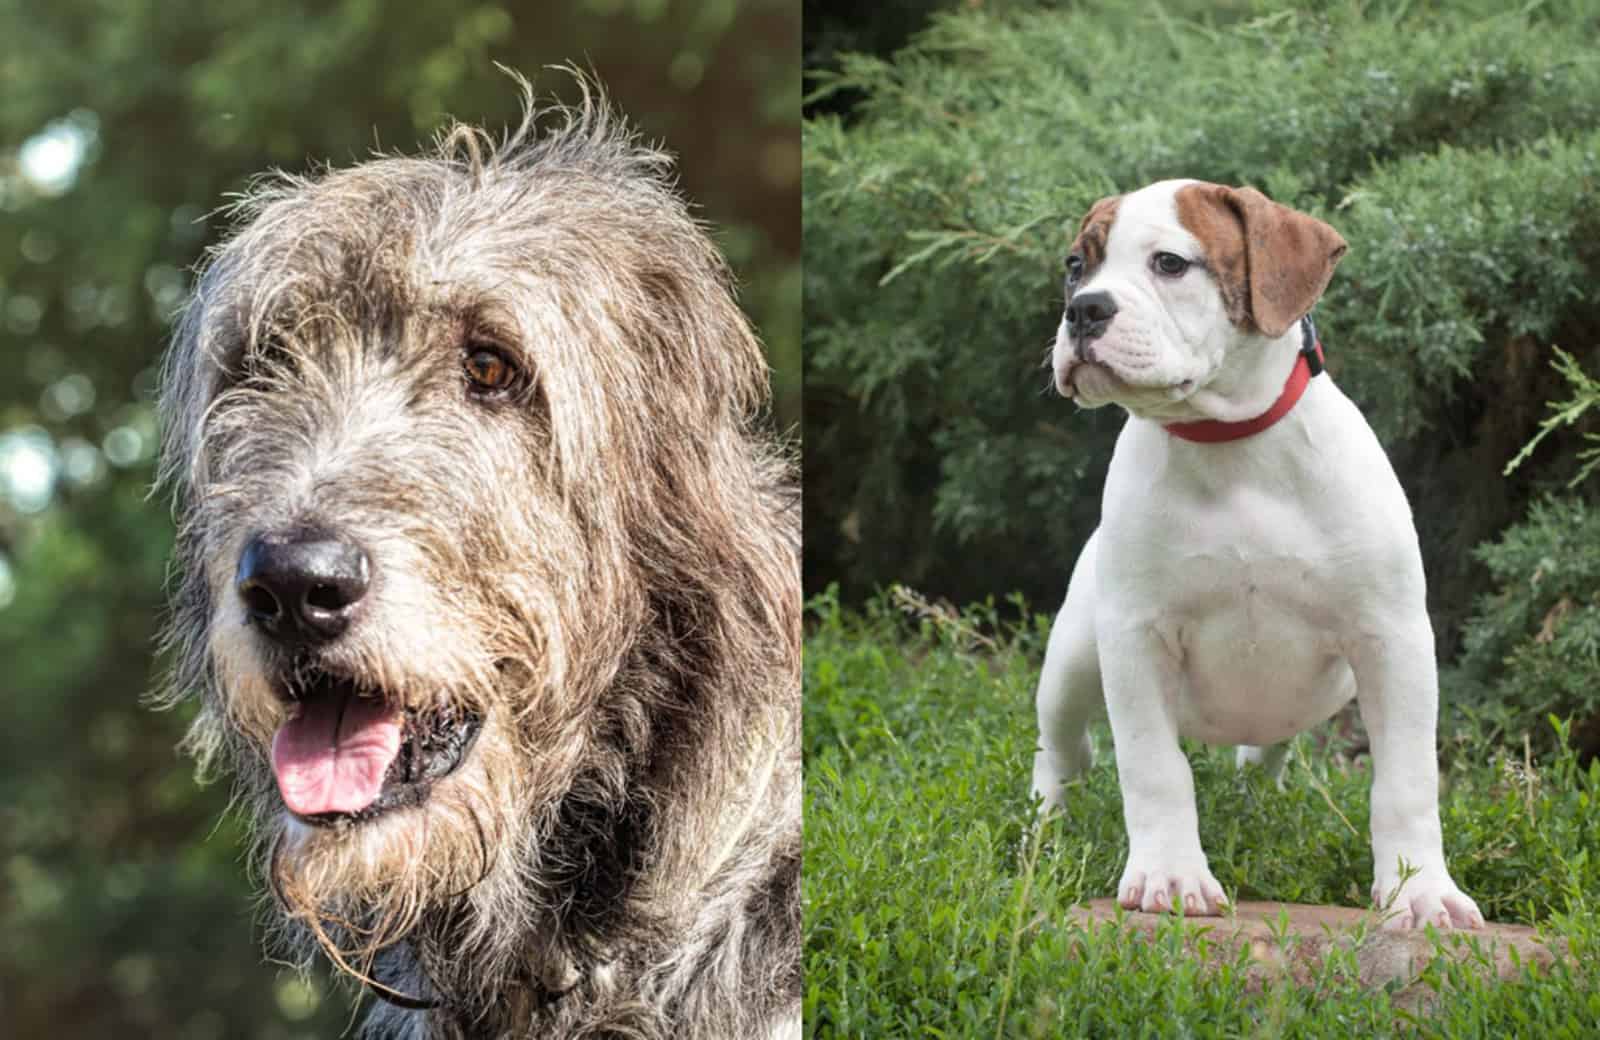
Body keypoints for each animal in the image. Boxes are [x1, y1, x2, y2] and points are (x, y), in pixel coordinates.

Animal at [1030, 180, 1478, 934]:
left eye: (1171, 263)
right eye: (1075, 264)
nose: (1083, 309)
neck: (1228, 444)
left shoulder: (1393, 640)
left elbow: (1406, 781)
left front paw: (1419, 891)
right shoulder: (1136, 639)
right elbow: (1154, 769)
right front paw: (1171, 877)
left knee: (1261, 756)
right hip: (1072, 660)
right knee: (1063, 750)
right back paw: (1045, 832)